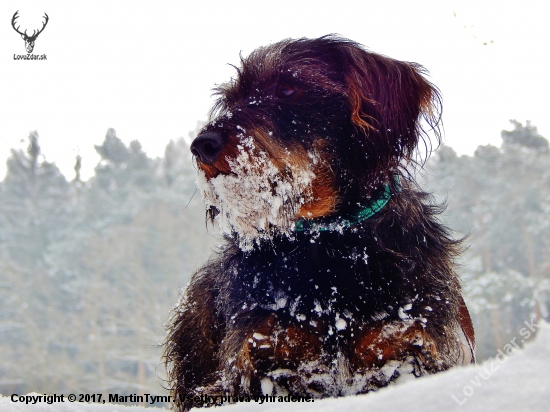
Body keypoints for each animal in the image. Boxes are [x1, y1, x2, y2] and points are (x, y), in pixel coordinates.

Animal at [163, 36, 474, 412]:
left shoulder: (402, 343)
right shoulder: (268, 352)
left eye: (287, 87)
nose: (202, 145)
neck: (327, 239)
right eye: (231, 99)